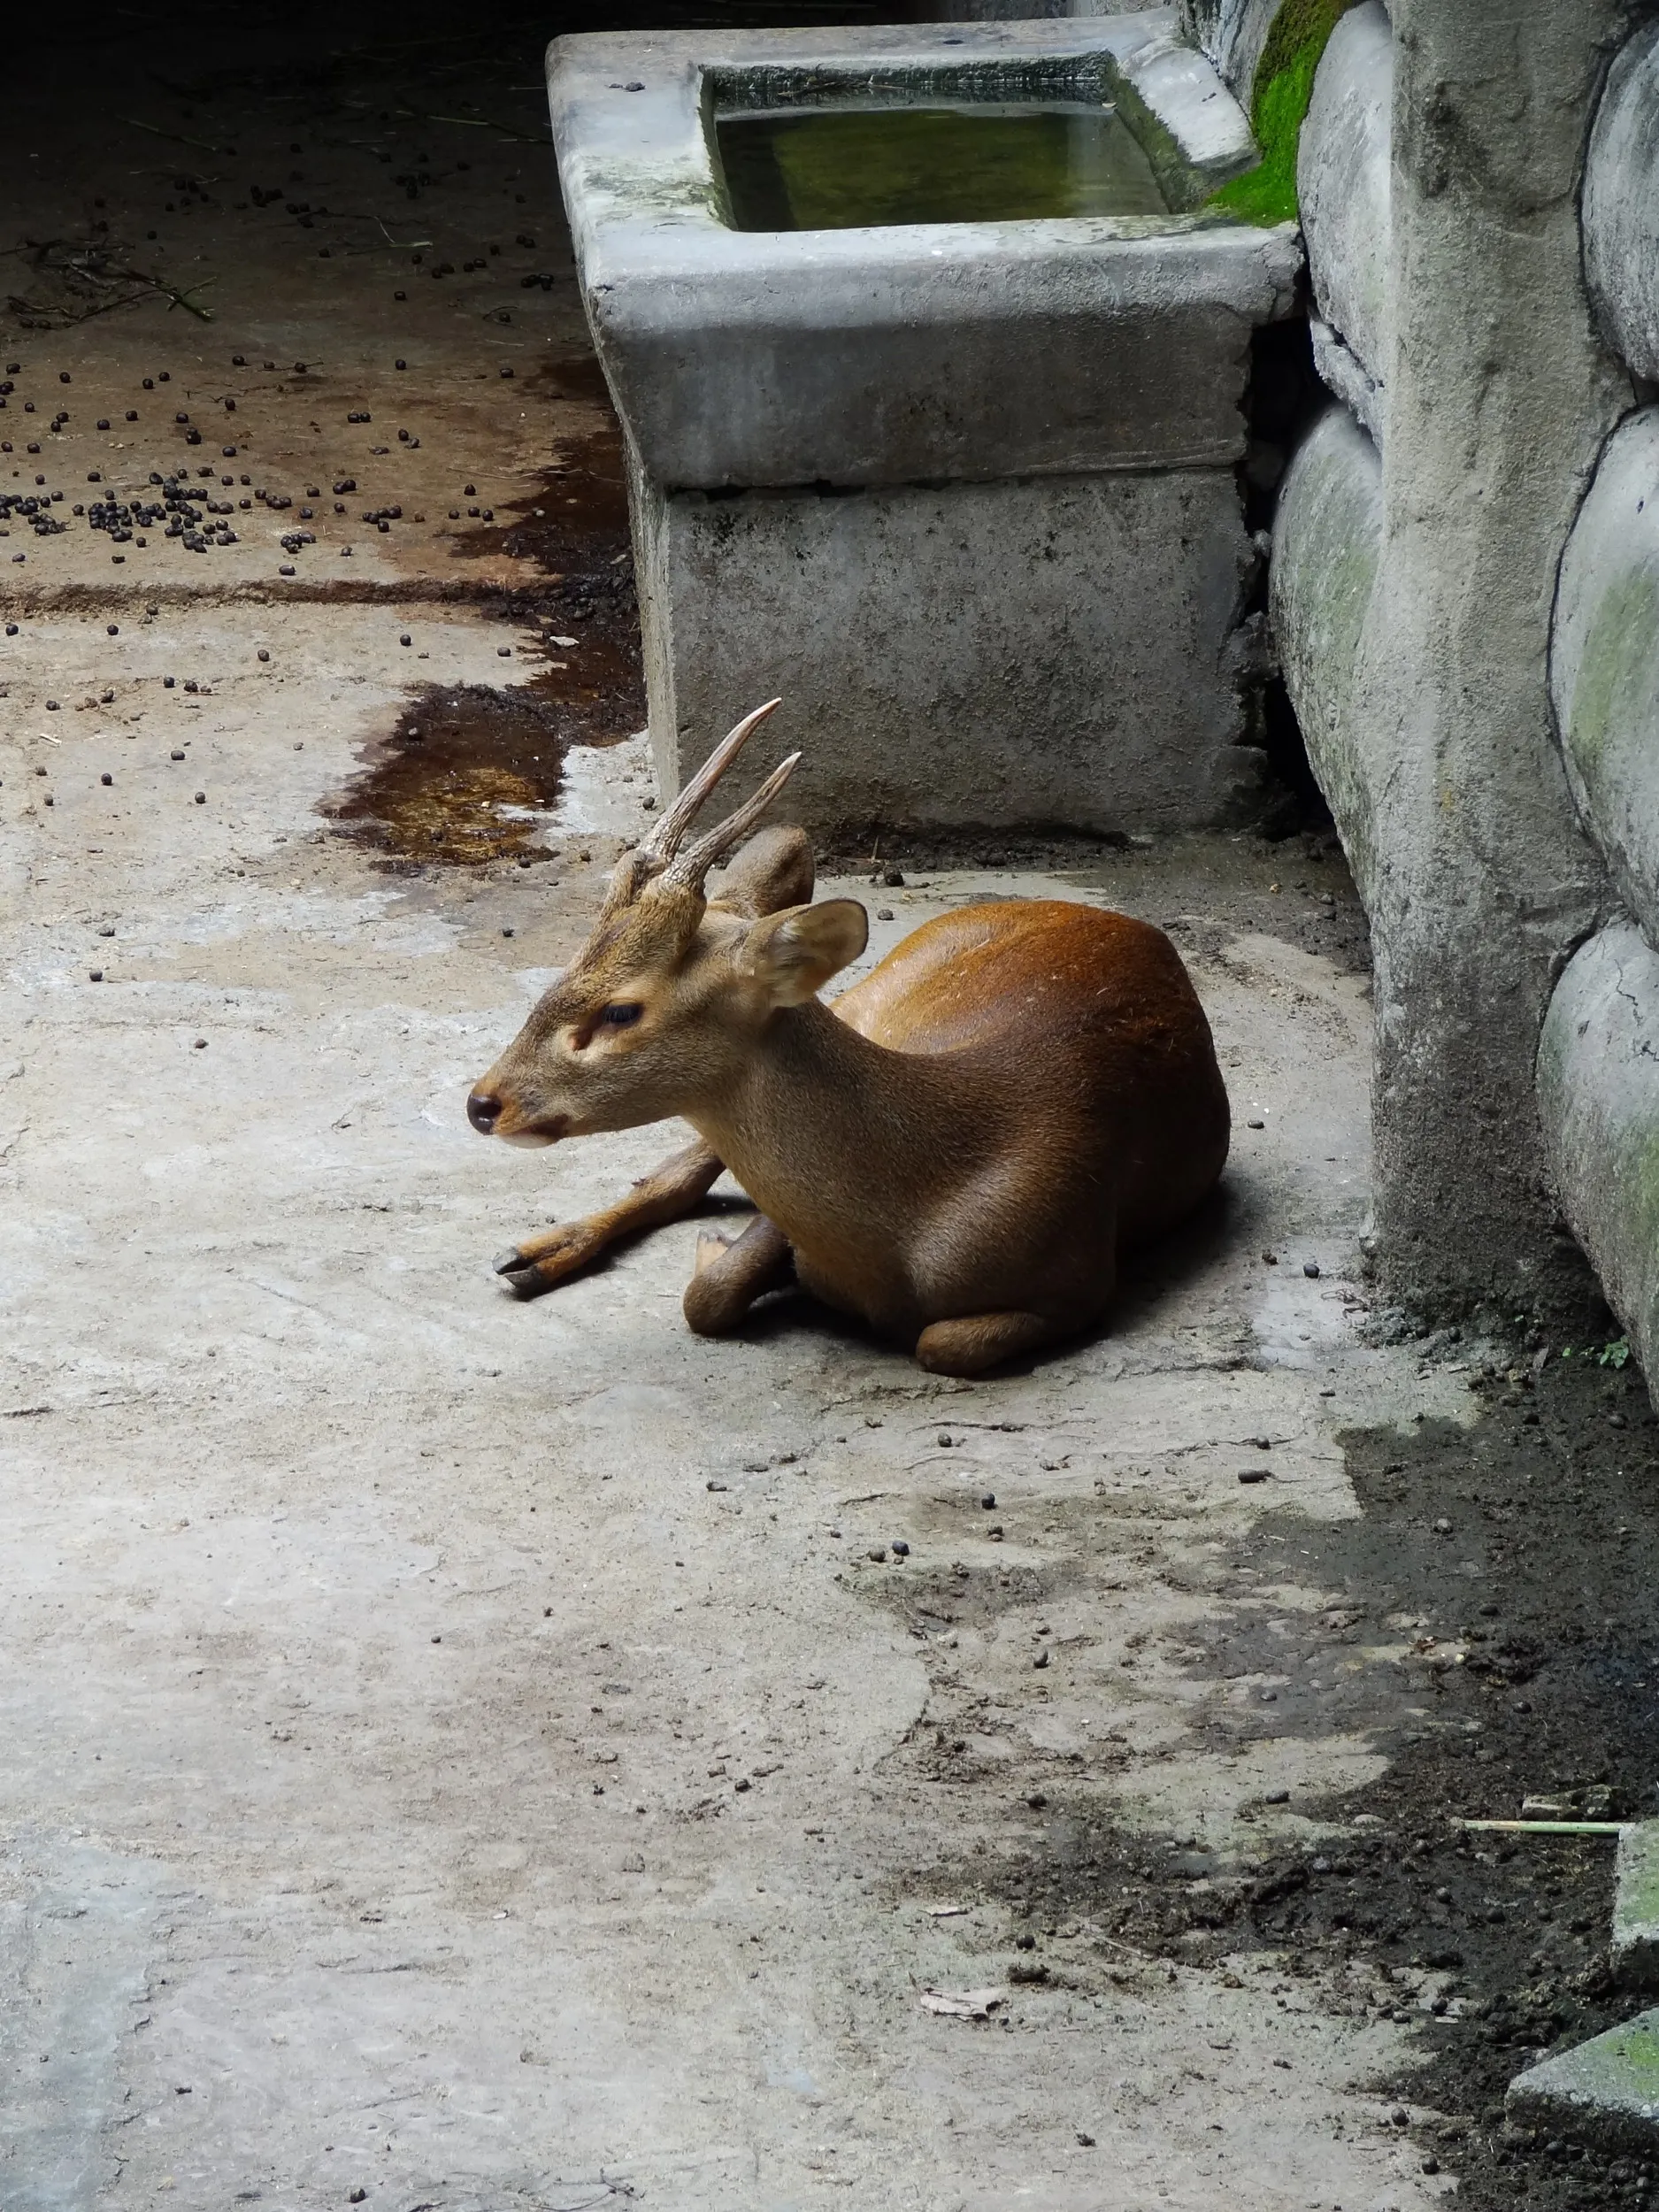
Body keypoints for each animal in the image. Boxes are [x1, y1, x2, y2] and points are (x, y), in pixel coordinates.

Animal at [466, 702, 1230, 1376]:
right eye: (565, 966)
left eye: (622, 1012)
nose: (483, 1103)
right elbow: (710, 1294)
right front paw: (717, 1251)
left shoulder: (1080, 1278)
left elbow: (941, 1344)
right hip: (866, 994)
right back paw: (532, 1254)